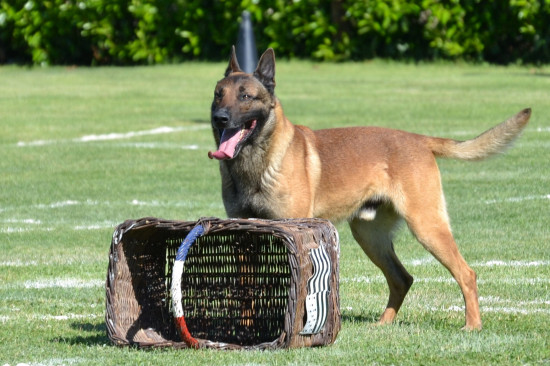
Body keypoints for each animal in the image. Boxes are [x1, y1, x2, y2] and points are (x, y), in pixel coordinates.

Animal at [209, 47, 532, 330]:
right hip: (370, 235)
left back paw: (472, 325)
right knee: (402, 278)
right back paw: (383, 324)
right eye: (217, 94)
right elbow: (247, 288)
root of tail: (419, 139)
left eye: (246, 96)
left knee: (466, 273)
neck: (256, 162)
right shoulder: (245, 234)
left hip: (426, 226)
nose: (219, 118)